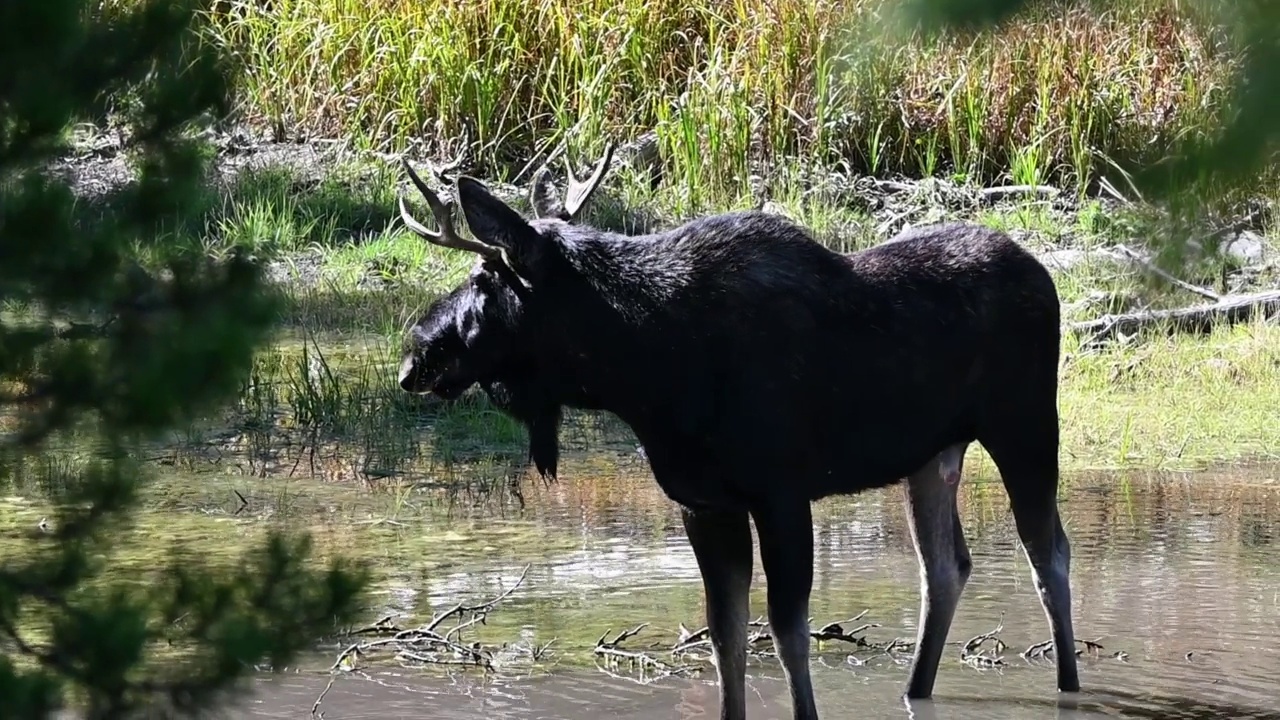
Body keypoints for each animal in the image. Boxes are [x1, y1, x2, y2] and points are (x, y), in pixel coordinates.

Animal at [391, 142, 1080, 712]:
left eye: (484, 280)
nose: (415, 360)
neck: (642, 370)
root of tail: (1043, 273)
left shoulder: (781, 494)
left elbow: (786, 633)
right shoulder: (704, 502)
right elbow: (726, 636)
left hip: (1025, 424)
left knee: (1049, 554)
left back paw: (1069, 685)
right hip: (932, 454)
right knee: (945, 567)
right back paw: (916, 688)